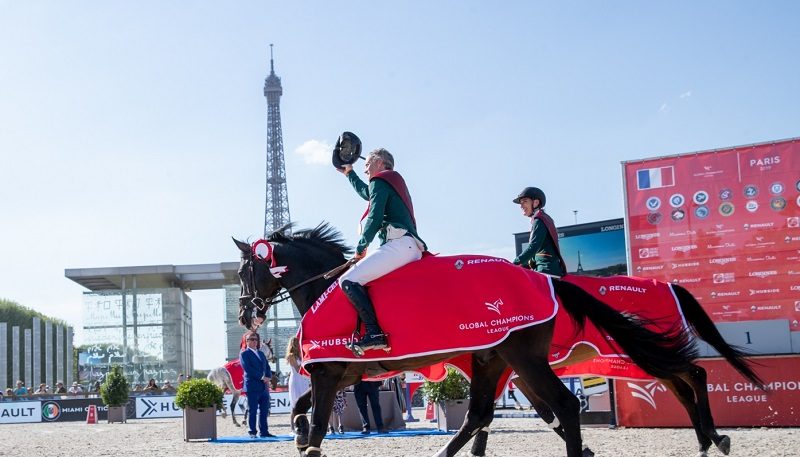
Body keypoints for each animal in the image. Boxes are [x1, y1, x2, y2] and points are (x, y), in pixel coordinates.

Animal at [231, 224, 700, 456]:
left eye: (243, 272)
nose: (244, 315)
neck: (325, 287)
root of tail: (542, 278)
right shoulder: (345, 375)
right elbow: (298, 411)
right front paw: (295, 433)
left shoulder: (329, 375)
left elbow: (314, 428)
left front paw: (304, 438)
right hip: (492, 359)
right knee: (481, 414)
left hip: (523, 359)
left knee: (563, 405)